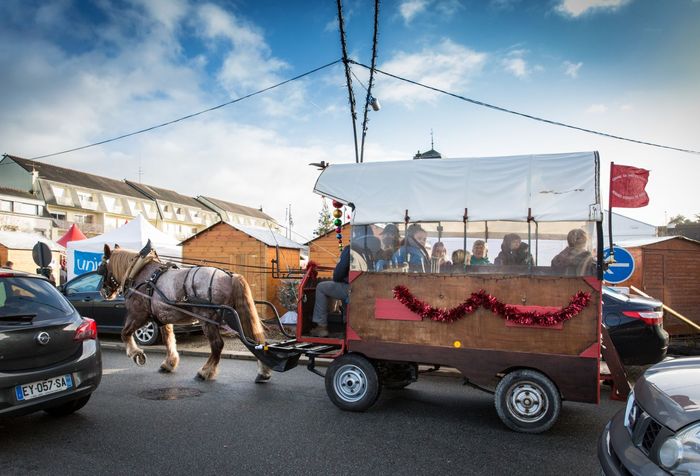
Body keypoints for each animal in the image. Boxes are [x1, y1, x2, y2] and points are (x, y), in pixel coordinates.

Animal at [97, 244, 272, 382]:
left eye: (102, 268)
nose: (102, 291)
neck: (140, 272)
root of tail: (230, 276)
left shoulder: (138, 315)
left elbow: (125, 333)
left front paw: (136, 354)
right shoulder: (163, 318)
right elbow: (169, 340)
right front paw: (169, 363)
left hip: (209, 319)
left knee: (218, 344)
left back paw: (205, 372)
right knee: (255, 339)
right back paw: (263, 371)